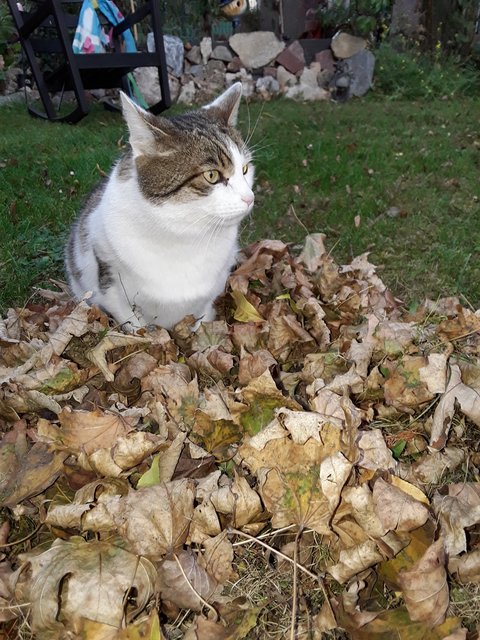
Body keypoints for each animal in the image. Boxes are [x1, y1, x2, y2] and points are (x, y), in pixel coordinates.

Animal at [65, 81, 253, 330]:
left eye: (245, 169)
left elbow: (201, 321)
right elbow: (136, 327)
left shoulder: (212, 292)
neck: (184, 236)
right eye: (212, 175)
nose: (250, 197)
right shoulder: (111, 286)